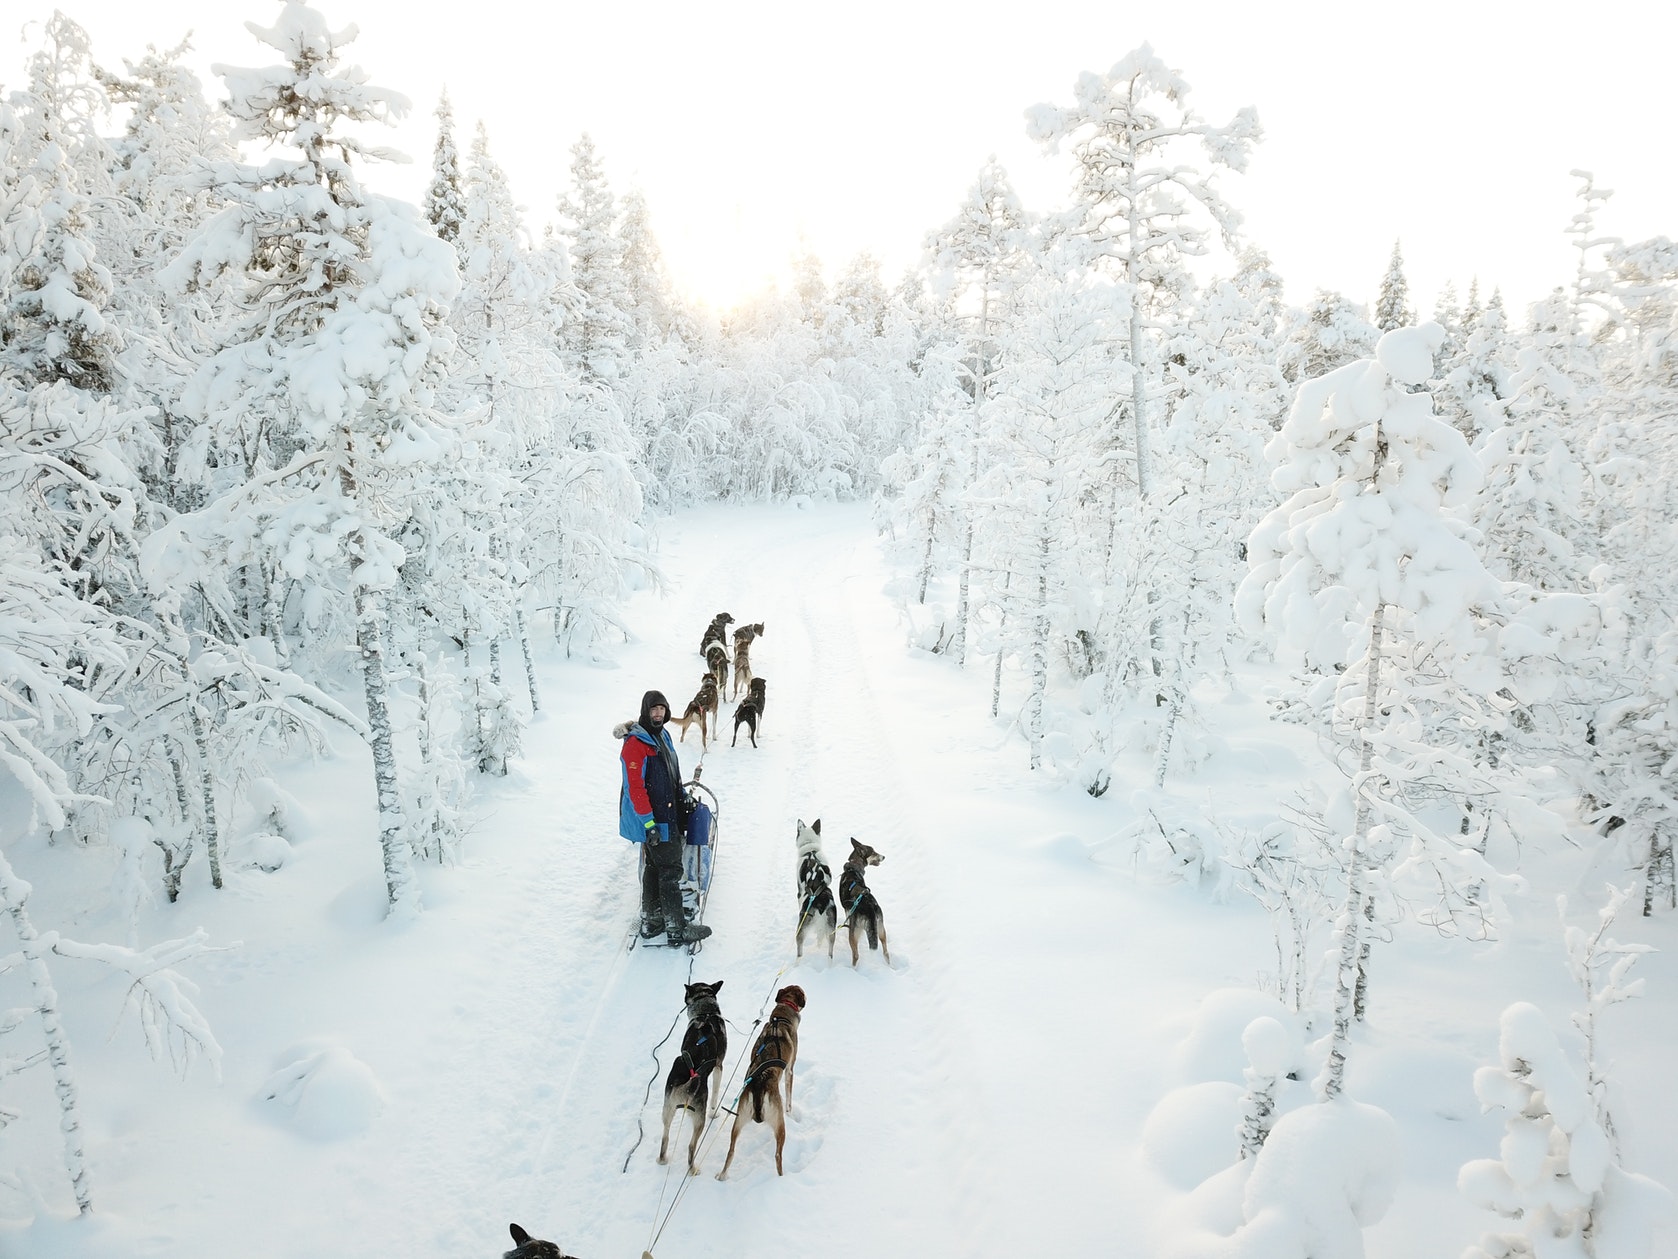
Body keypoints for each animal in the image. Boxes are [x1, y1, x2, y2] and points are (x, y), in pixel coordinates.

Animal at [714, 987, 805, 1181]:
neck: (780, 1019)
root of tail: (758, 1086)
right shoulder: (790, 1070)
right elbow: (789, 1098)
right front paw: (791, 1111)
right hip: (779, 1126)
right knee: (778, 1156)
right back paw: (781, 1178)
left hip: (738, 1121)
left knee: (731, 1151)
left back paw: (723, 1175)